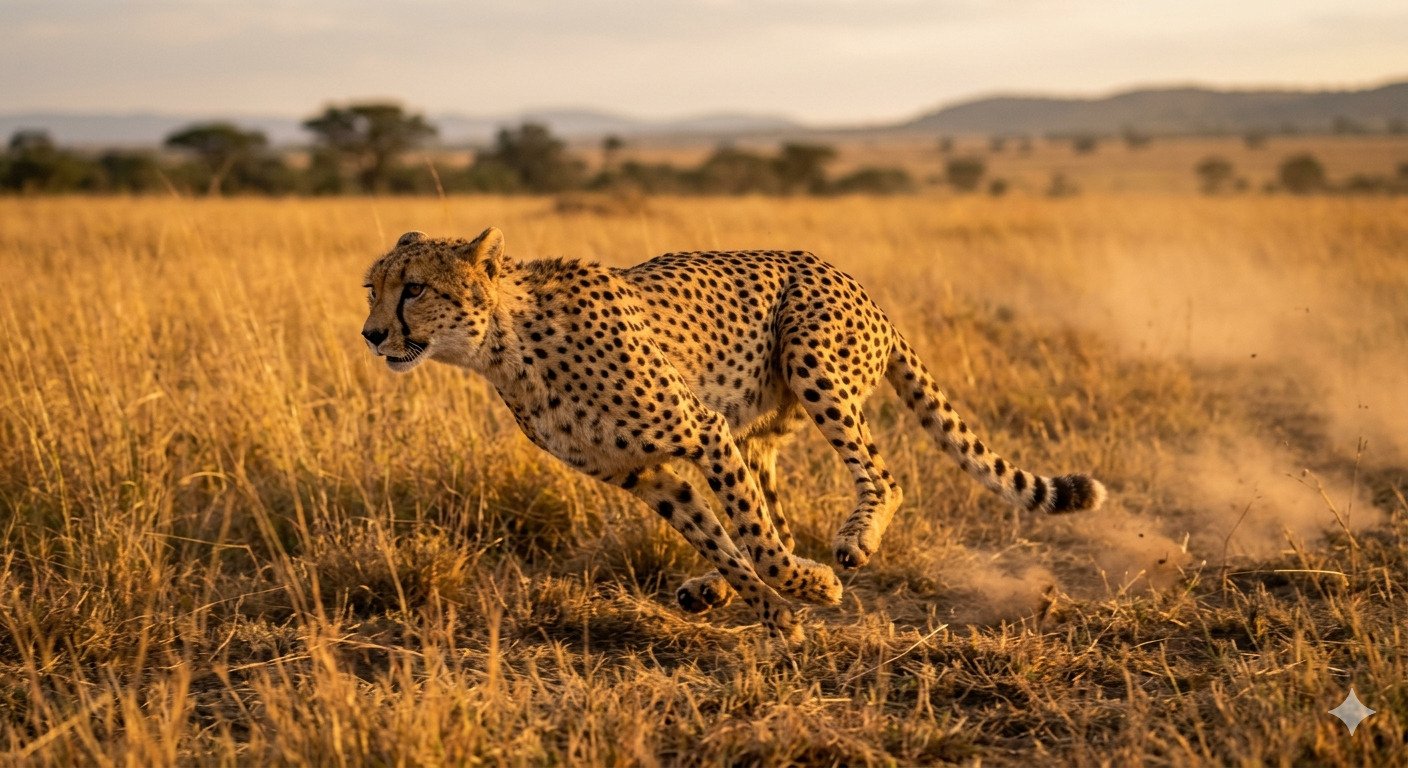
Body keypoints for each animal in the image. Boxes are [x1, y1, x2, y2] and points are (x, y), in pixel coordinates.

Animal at [361, 227, 1107, 643]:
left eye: (415, 289)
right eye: (373, 288)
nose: (370, 334)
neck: (506, 345)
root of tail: (857, 284)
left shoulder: (702, 430)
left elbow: (754, 542)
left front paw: (808, 591)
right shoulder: (647, 475)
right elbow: (723, 540)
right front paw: (775, 614)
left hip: (812, 362)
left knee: (878, 478)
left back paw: (852, 542)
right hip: (762, 430)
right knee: (777, 515)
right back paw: (714, 590)